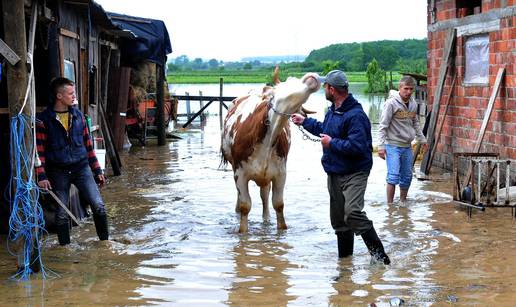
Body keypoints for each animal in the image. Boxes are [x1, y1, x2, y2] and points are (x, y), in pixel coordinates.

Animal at [221, 69, 320, 233]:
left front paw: (281, 228)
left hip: (266, 175)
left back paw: (266, 219)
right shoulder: (239, 173)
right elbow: (245, 205)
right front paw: (242, 231)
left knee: (264, 195)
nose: (312, 76)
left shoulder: (280, 173)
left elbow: (278, 204)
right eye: (288, 82)